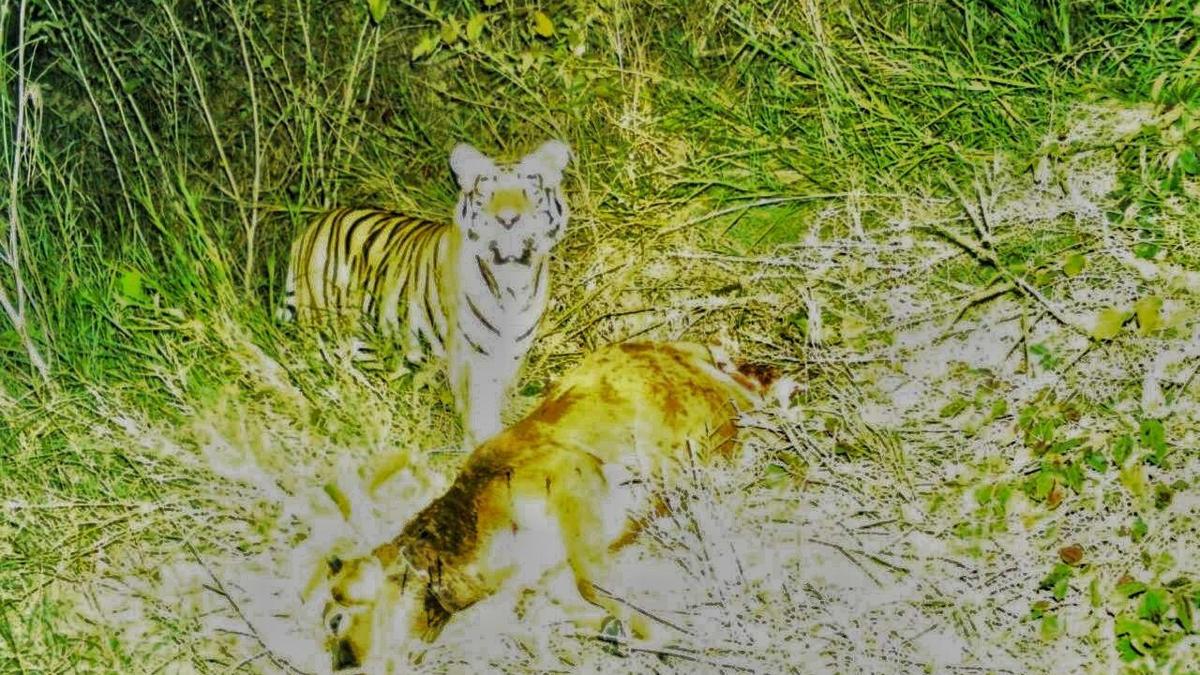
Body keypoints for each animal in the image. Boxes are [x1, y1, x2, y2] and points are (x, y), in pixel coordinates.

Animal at [279, 140, 571, 448]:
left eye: (530, 191)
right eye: (486, 193)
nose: (508, 220)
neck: (513, 279)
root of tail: (310, 228)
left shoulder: (514, 352)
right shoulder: (470, 356)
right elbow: (478, 408)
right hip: (327, 336)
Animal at [317, 341, 774, 672]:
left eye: (335, 620)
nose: (345, 666)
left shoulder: (571, 474)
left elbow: (593, 583)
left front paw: (672, 634)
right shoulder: (544, 575)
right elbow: (537, 612)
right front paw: (614, 630)